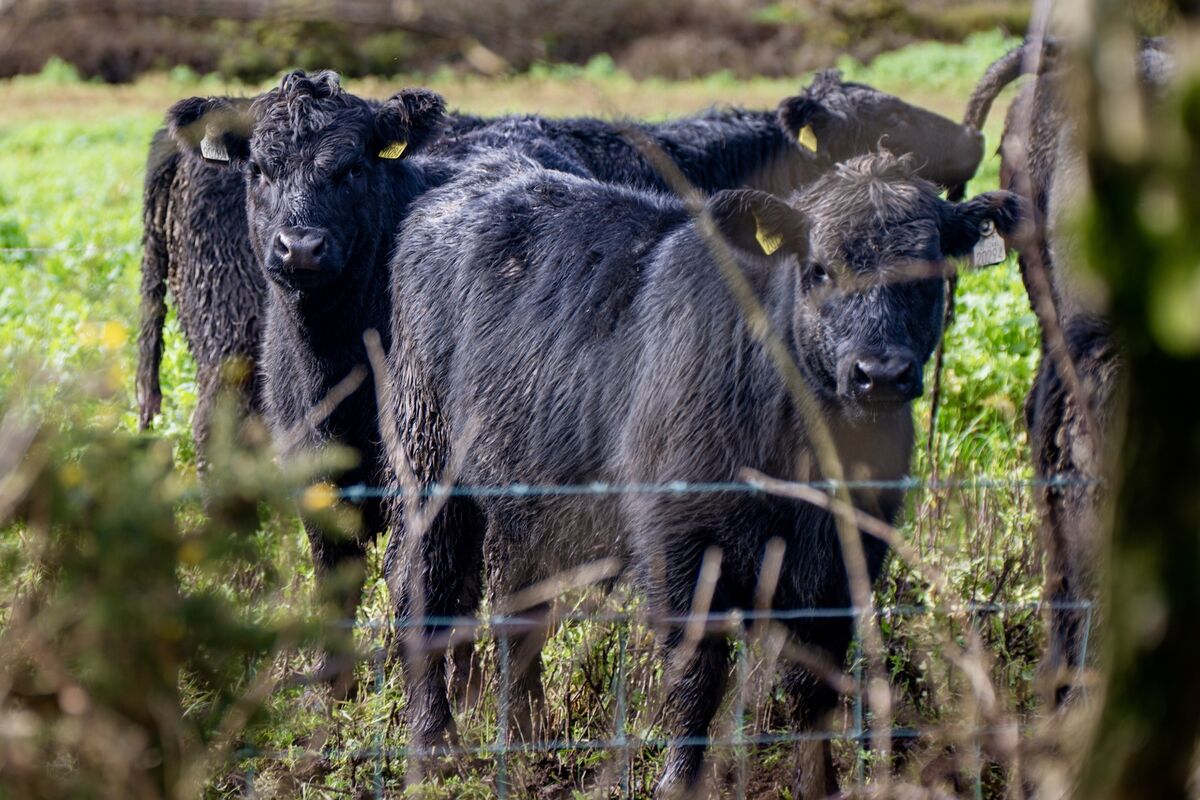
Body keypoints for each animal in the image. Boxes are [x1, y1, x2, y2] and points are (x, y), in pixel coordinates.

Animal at [383, 149, 1022, 796]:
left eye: (930, 269)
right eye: (819, 270)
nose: (881, 373)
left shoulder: (842, 558)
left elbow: (811, 681)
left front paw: (818, 784)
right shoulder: (679, 545)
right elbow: (696, 675)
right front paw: (677, 782)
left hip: (525, 497)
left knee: (518, 605)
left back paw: (530, 738)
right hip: (428, 462)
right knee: (424, 589)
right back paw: (435, 745)